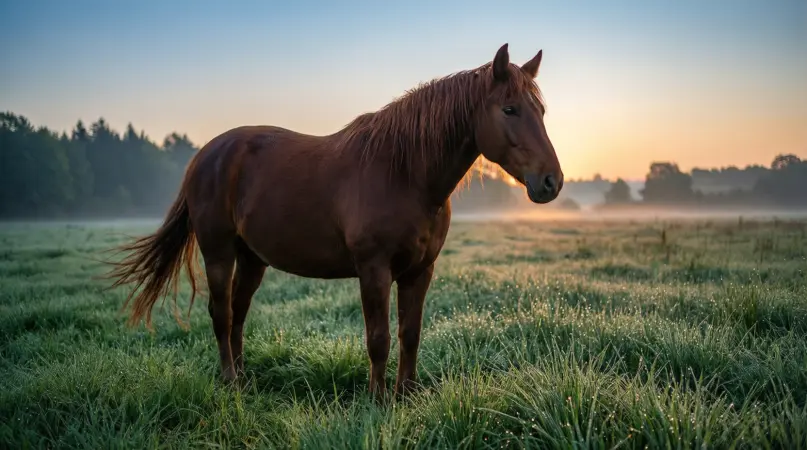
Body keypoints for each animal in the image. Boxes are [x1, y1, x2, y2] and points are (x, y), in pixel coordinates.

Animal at [105, 43, 563, 398]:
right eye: (509, 109)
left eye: (541, 110)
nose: (551, 181)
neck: (405, 174)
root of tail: (206, 155)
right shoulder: (374, 269)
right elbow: (378, 338)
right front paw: (378, 400)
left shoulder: (420, 271)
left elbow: (410, 334)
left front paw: (408, 394)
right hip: (218, 254)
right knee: (221, 314)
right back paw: (230, 380)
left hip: (252, 259)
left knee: (238, 312)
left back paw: (244, 380)